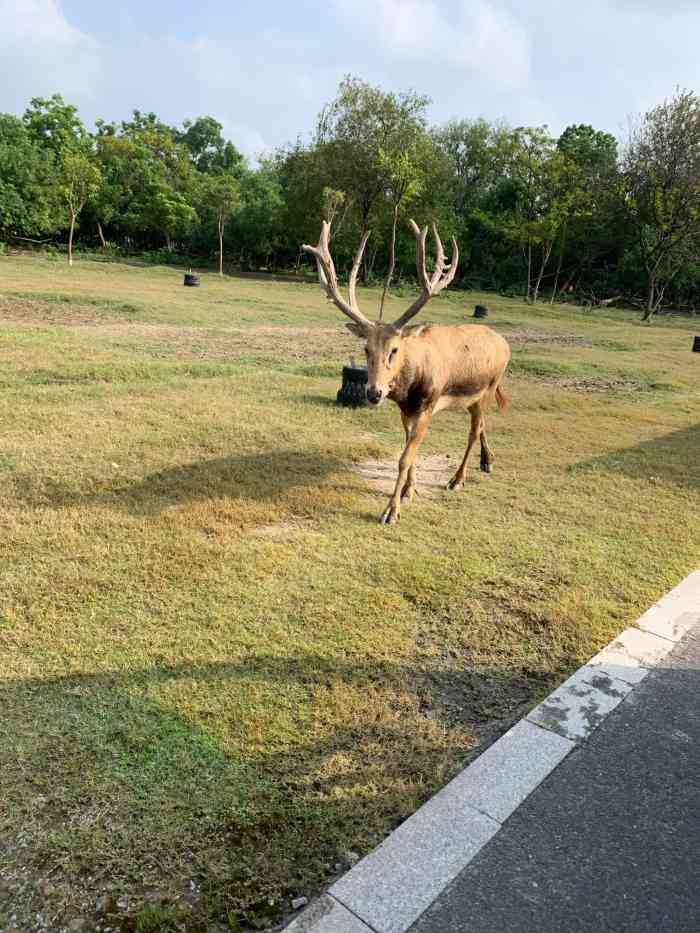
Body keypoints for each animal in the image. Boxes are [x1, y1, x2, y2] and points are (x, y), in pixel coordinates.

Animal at [300, 219, 508, 524]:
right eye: (366, 349)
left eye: (395, 349)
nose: (373, 393)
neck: (410, 387)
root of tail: (505, 344)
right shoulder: (405, 409)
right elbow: (408, 447)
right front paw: (410, 490)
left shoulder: (428, 404)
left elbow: (405, 456)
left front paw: (391, 510)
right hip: (474, 397)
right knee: (481, 425)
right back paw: (487, 461)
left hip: (488, 388)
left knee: (474, 429)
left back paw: (457, 479)